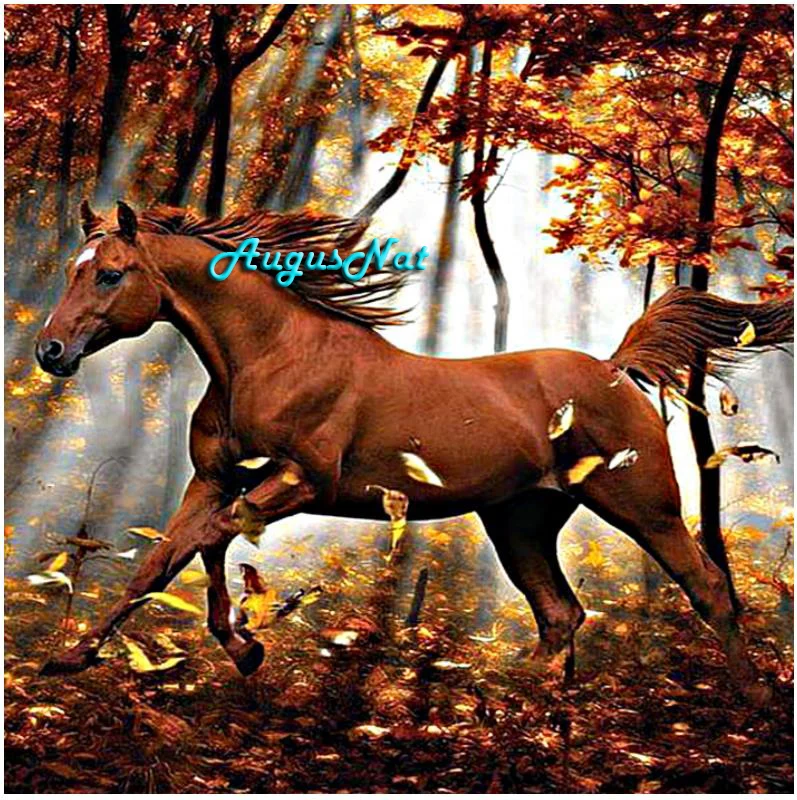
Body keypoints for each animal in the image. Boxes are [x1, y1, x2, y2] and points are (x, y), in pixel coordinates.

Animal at [35, 201, 792, 701]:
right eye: (77, 269)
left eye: (109, 274)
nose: (52, 351)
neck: (269, 357)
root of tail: (613, 369)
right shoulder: (215, 478)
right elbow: (162, 561)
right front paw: (70, 659)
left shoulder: (299, 482)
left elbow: (210, 541)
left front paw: (246, 647)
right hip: (519, 522)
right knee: (559, 614)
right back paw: (522, 708)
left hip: (643, 506)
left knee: (706, 584)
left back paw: (747, 703)